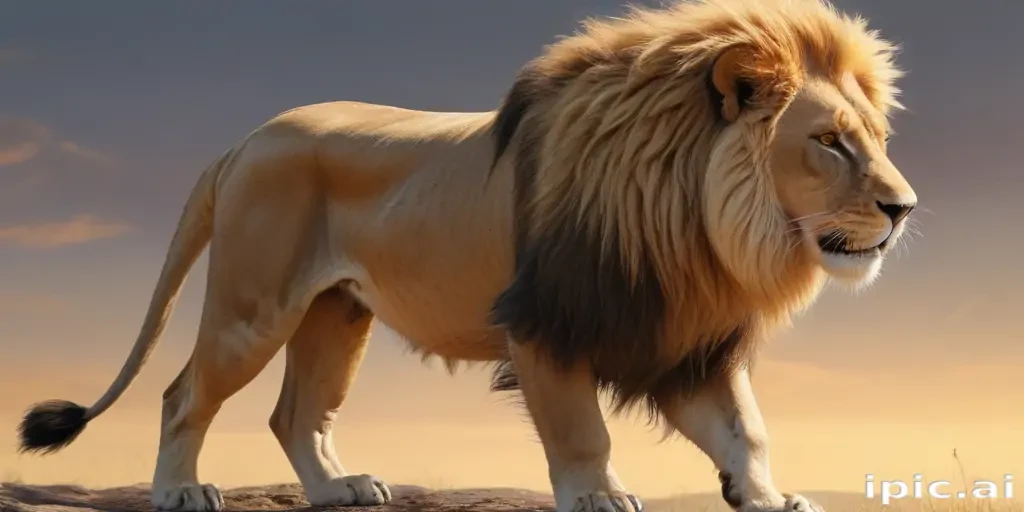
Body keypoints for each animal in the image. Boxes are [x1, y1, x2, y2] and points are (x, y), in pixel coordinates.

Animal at [16, 1, 916, 511]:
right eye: (829, 143)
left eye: (876, 138)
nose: (903, 209)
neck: (697, 226)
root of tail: (246, 139)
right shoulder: (546, 325)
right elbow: (582, 433)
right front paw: (599, 498)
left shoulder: (685, 339)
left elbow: (747, 432)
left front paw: (765, 497)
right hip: (252, 305)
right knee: (182, 395)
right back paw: (178, 489)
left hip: (335, 314)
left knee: (296, 413)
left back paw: (339, 491)